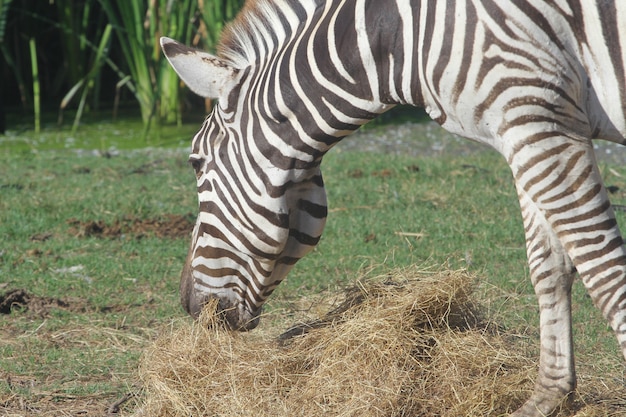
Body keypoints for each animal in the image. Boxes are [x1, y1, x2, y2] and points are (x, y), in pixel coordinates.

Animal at [162, 0, 624, 414]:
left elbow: (604, 272)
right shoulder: (521, 131)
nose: (186, 305)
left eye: (195, 162)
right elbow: (550, 267)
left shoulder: (538, 118)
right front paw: (549, 396)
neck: (400, 39)